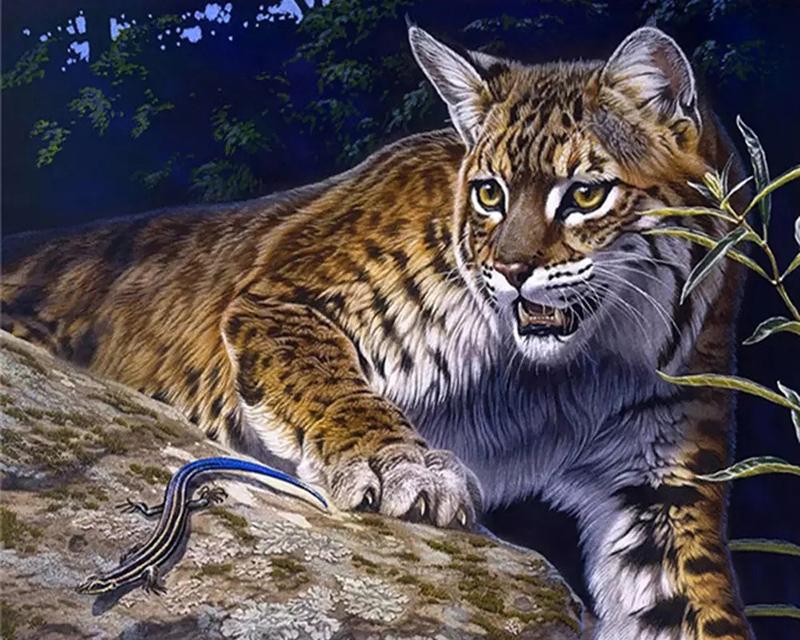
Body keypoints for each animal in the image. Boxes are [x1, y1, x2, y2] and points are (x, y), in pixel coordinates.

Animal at [2, 24, 752, 639]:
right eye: (488, 194)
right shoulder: (280, 301)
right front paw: (402, 466)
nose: (510, 271)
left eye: (586, 195)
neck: (570, 362)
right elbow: (337, 387)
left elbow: (690, 599)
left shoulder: (662, 479)